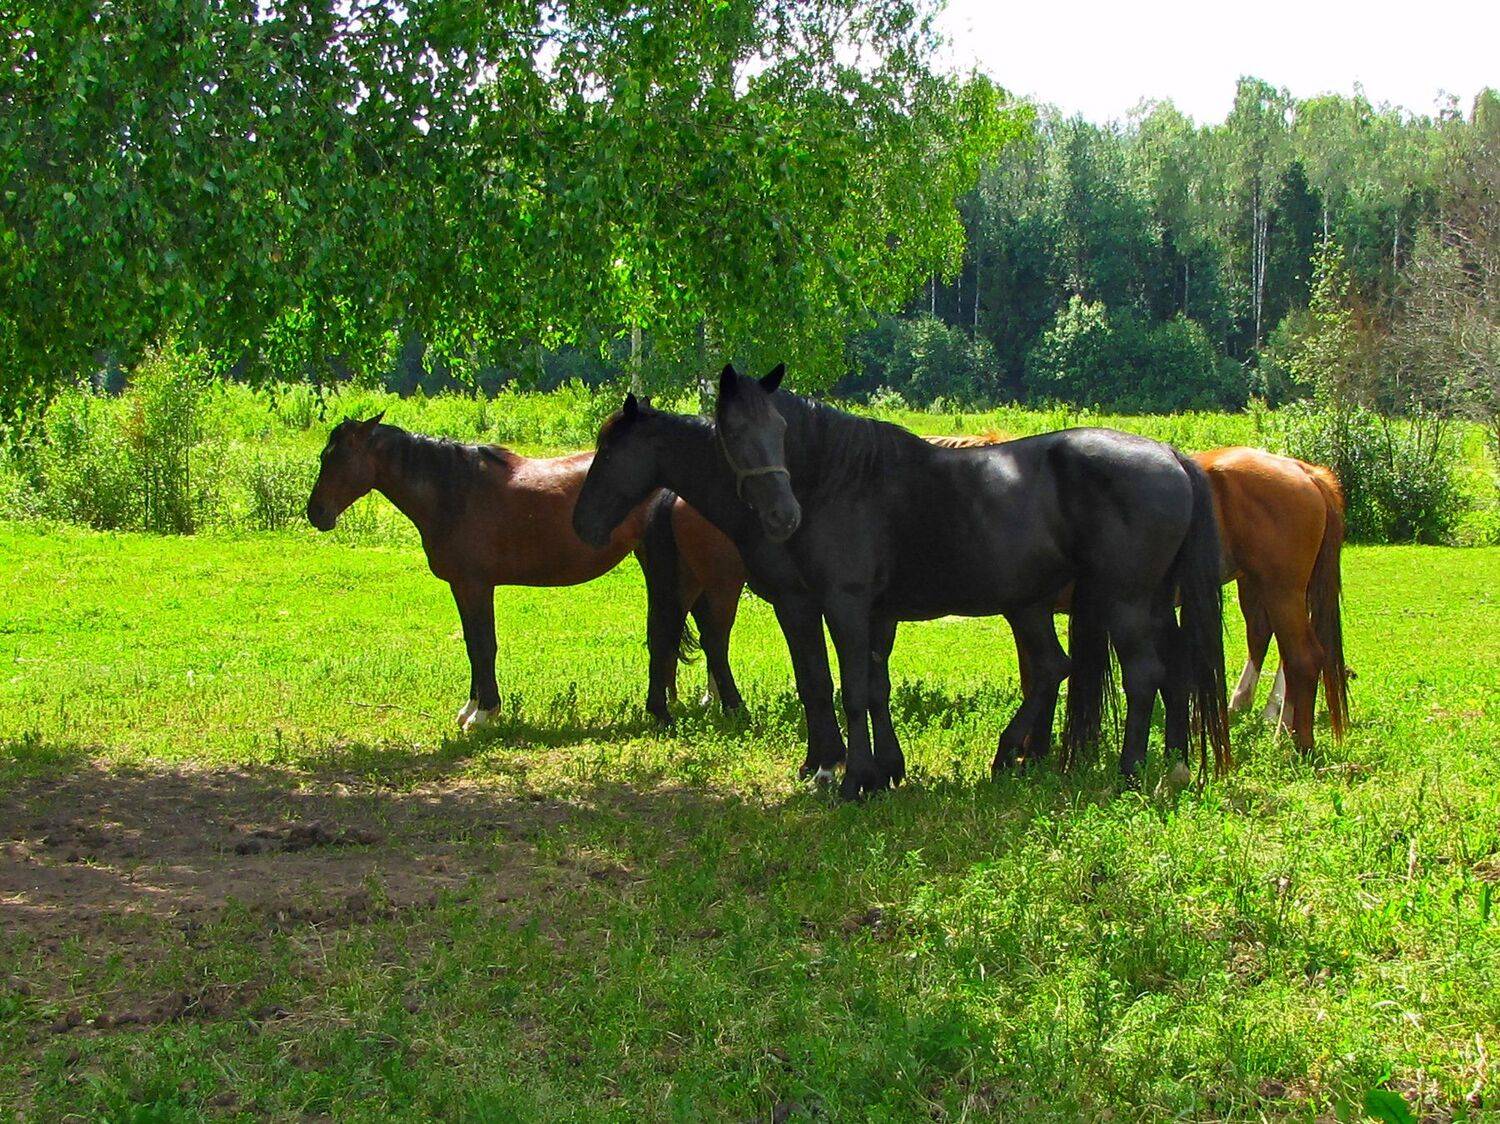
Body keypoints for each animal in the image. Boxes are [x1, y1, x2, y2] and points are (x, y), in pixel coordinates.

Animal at [304, 412, 743, 730]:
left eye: (336, 458)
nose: (316, 513)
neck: (454, 492)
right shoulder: (463, 587)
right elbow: (472, 643)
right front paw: (471, 707)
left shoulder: (475, 585)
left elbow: (483, 645)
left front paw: (485, 713)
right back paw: (707, 699)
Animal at [574, 365, 1230, 800]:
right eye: (734, 433)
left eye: (779, 428)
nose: (584, 522)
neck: (830, 481)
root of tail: (1171, 455)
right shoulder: (863, 611)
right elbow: (859, 685)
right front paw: (869, 768)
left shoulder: (830, 603)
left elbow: (842, 686)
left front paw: (850, 776)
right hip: (1101, 603)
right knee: (1123, 668)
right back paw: (1145, 763)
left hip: (1123, 600)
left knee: (1142, 673)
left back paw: (1127, 768)